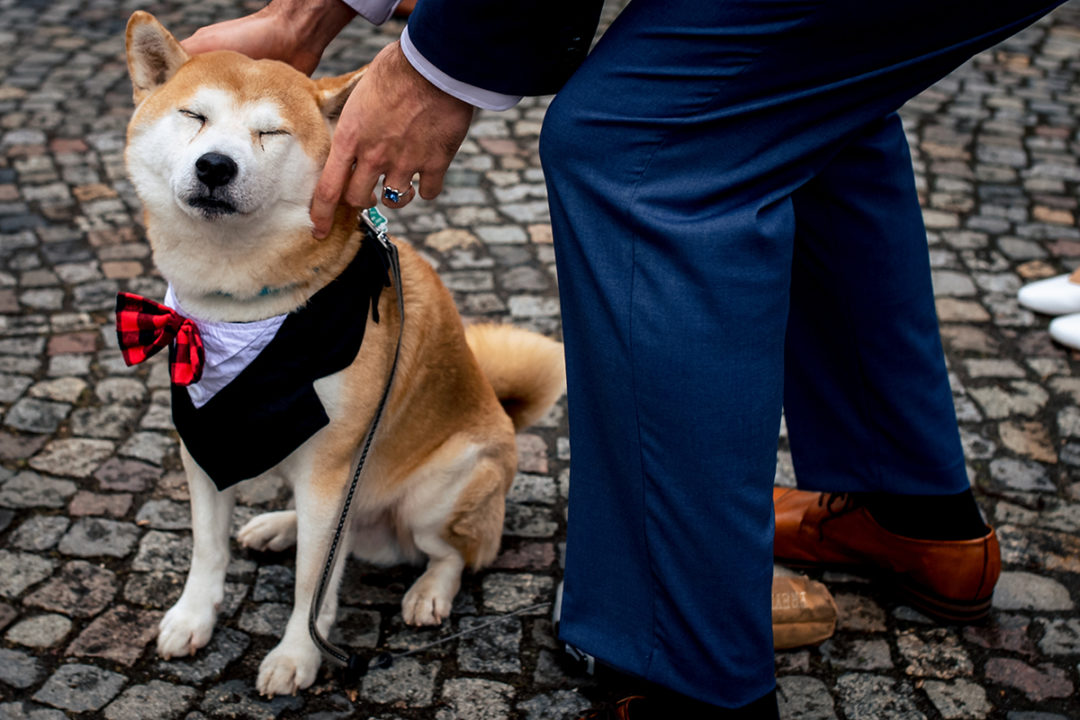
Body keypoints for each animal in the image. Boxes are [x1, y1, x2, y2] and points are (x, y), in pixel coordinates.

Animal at [123, 11, 570, 699]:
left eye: (270, 132)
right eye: (193, 116)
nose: (215, 166)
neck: (240, 311)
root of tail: (502, 412)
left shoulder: (333, 465)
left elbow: (313, 583)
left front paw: (297, 656)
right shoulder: (201, 439)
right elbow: (207, 548)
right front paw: (192, 618)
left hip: (436, 494)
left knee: (453, 555)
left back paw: (428, 593)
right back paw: (279, 526)